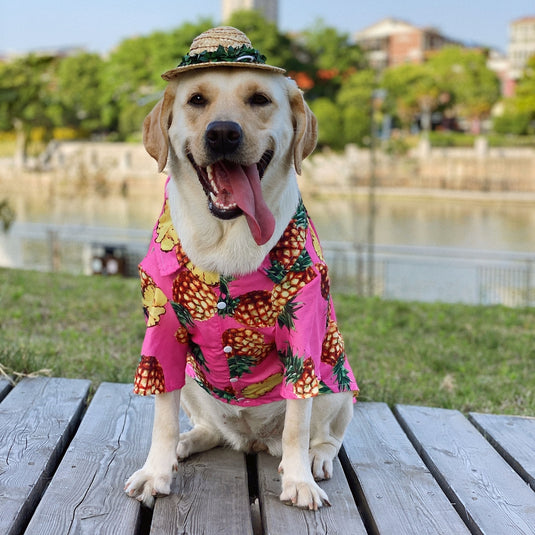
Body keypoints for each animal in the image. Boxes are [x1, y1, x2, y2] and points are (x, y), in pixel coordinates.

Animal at [124, 27, 358, 512]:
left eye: (259, 99)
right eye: (196, 99)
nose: (223, 133)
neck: (226, 238)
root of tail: (252, 440)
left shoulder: (304, 329)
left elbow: (297, 421)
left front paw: (299, 481)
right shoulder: (162, 330)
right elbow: (161, 417)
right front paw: (156, 471)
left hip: (338, 383)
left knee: (323, 435)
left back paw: (314, 461)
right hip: (193, 380)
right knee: (210, 428)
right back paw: (188, 442)